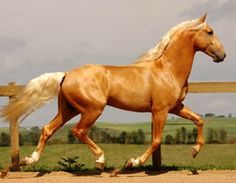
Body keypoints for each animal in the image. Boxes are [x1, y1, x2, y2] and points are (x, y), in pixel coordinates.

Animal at [0, 14, 225, 170]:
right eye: (210, 31)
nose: (222, 55)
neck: (168, 69)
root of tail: (66, 74)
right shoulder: (160, 110)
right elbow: (156, 140)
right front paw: (133, 162)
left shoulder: (176, 107)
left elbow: (199, 120)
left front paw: (195, 151)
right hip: (92, 109)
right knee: (78, 131)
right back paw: (100, 160)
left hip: (69, 109)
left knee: (48, 129)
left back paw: (29, 160)